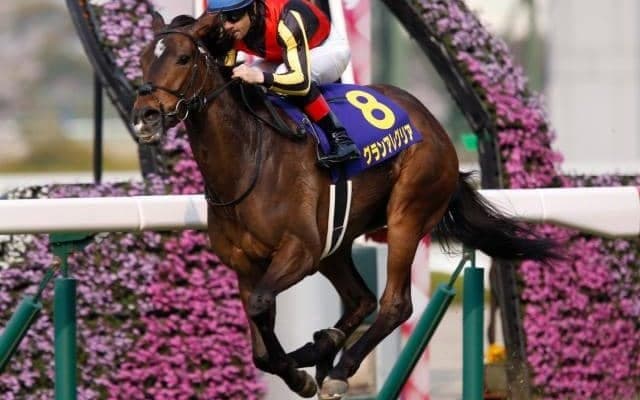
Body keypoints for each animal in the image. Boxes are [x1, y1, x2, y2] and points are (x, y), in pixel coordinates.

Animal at [131, 12, 557, 399]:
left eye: (183, 57)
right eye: (142, 58)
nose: (144, 116)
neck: (248, 158)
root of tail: (433, 124)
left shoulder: (300, 250)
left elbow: (261, 306)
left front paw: (300, 374)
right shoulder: (246, 264)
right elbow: (259, 343)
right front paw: (301, 363)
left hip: (407, 214)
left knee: (394, 305)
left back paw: (339, 368)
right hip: (335, 243)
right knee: (361, 298)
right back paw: (322, 346)